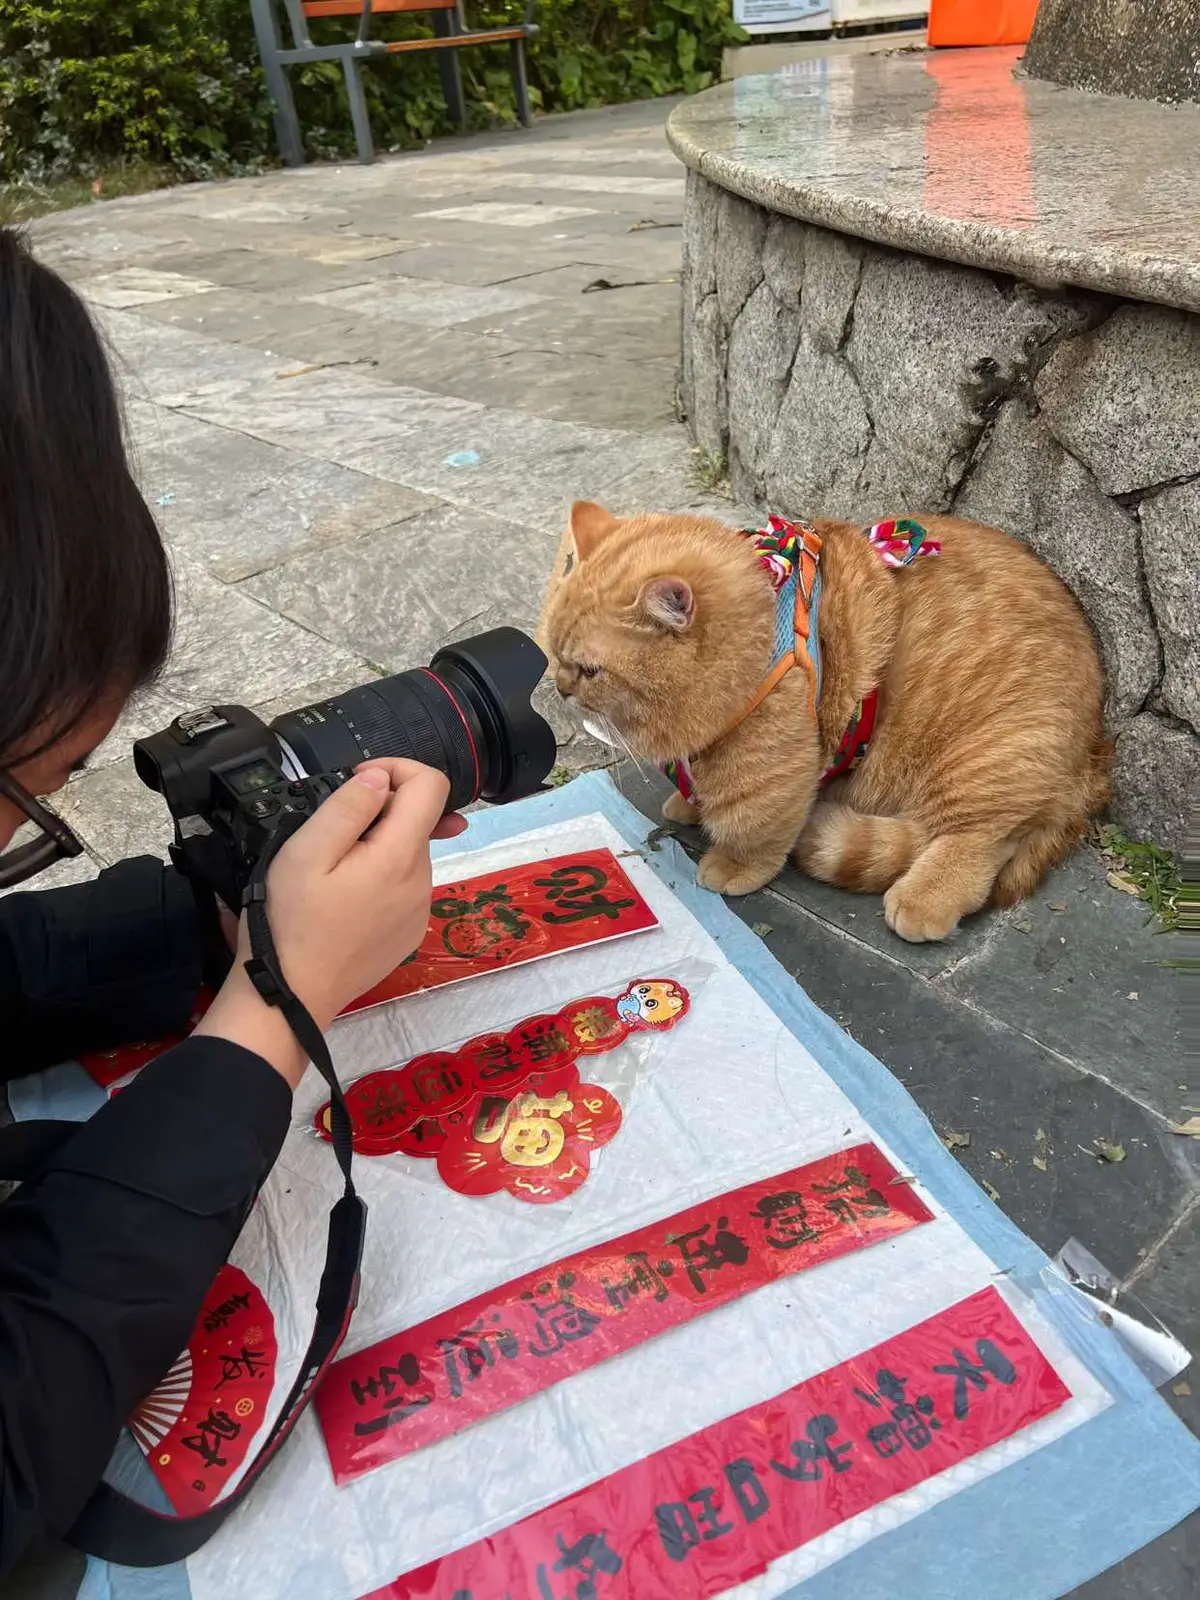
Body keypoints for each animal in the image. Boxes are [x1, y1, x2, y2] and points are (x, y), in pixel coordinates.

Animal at [540, 502, 1113, 934]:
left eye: (590, 670)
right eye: (553, 651)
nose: (560, 688)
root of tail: (1094, 757)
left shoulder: (767, 771)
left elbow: (754, 827)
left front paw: (731, 865)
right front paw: (687, 800)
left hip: (985, 758)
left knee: (980, 840)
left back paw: (924, 898)